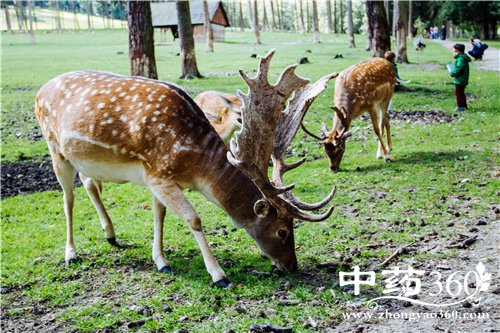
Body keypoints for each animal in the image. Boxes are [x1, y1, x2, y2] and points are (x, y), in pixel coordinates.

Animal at [34, 50, 340, 286]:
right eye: (283, 231)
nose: (292, 265)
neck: (191, 163)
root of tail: (40, 90)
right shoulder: (159, 174)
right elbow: (193, 219)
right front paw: (218, 275)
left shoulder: (156, 177)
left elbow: (159, 215)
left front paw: (161, 260)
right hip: (55, 148)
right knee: (68, 198)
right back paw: (71, 253)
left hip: (83, 158)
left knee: (88, 183)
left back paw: (110, 233)